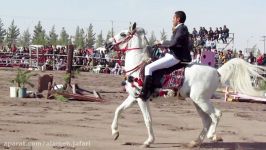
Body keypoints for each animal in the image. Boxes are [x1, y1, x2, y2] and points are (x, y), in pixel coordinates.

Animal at [107, 23, 266, 148]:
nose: (108, 44)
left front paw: (148, 141)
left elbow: (147, 120)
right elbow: (118, 110)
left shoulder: (142, 99)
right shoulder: (134, 97)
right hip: (198, 101)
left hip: (201, 100)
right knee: (207, 120)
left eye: (123, 34)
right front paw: (115, 133)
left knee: (216, 115)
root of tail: (217, 71)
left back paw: (213, 136)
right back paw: (195, 142)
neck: (138, 66)